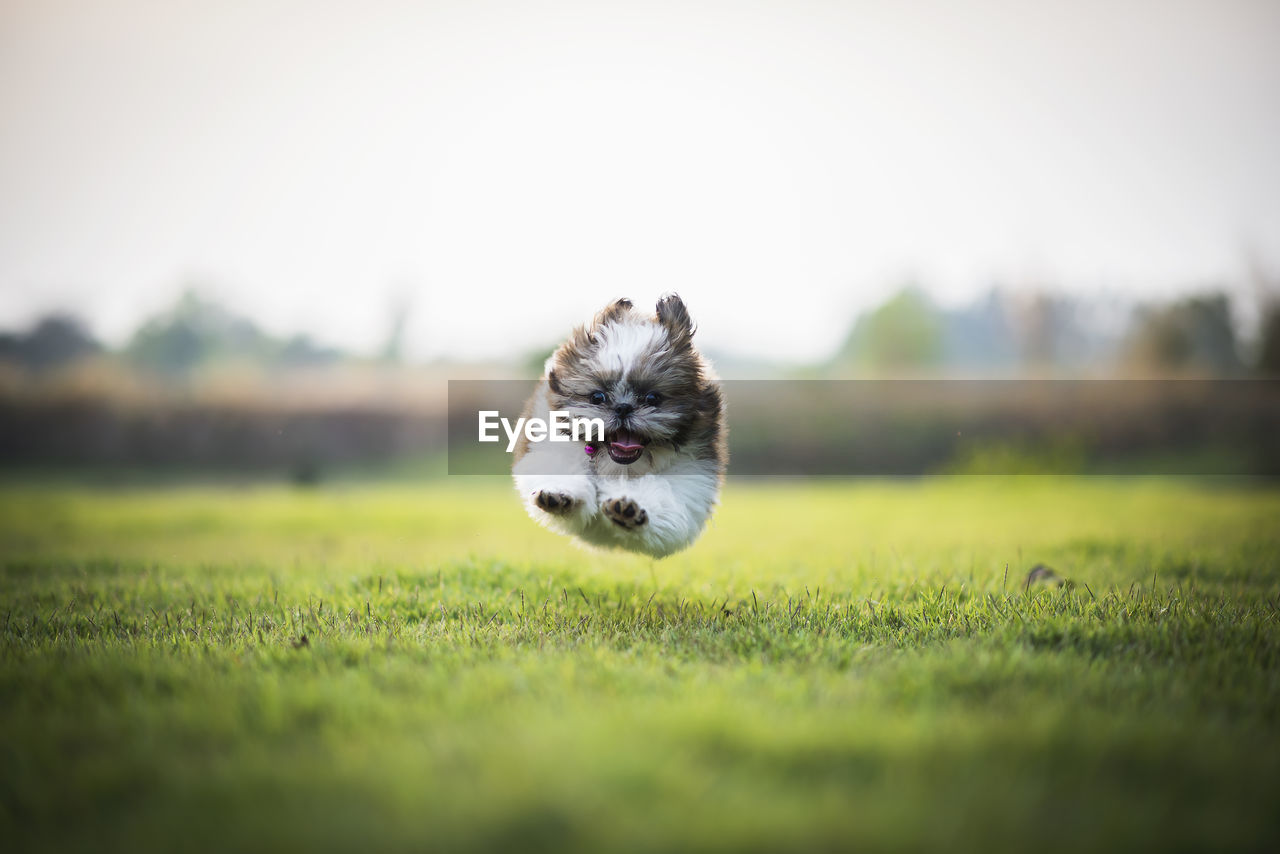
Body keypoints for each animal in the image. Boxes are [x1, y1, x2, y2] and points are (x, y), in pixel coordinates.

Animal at [512, 297, 732, 558]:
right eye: (597, 397)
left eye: (652, 398)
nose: (623, 408)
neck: (619, 468)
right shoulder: (552, 446)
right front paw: (558, 494)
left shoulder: (690, 477)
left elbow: (663, 496)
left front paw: (628, 509)